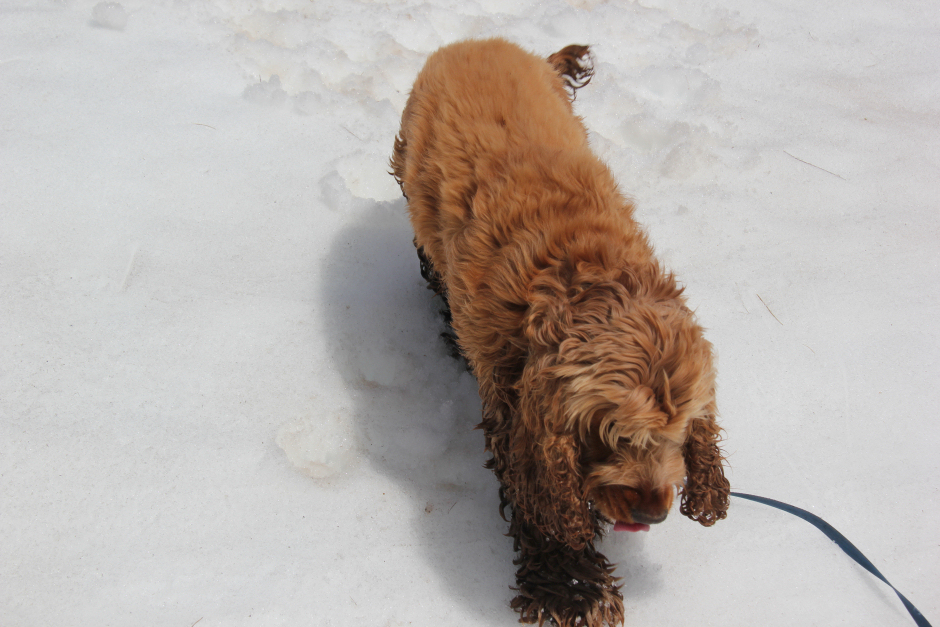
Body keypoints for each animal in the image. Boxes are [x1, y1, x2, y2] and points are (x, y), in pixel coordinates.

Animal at [391, 38, 729, 627]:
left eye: (680, 432)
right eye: (611, 435)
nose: (653, 515)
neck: (583, 277)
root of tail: (477, 40)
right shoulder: (515, 408)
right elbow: (543, 501)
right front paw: (573, 588)